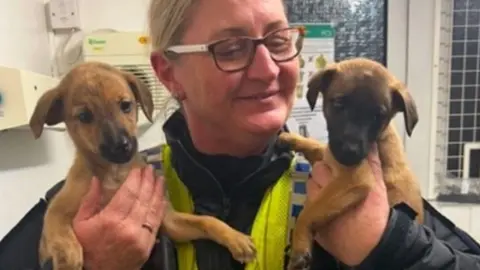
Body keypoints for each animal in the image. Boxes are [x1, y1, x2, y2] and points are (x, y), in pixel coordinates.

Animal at [30, 61, 256, 270]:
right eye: (84, 116)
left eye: (125, 105)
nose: (121, 146)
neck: (115, 174)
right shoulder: (57, 208)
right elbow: (59, 233)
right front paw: (68, 259)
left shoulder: (169, 221)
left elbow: (206, 221)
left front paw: (235, 238)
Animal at [282, 57, 424, 270]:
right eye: (340, 104)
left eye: (377, 116)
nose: (351, 152)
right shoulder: (332, 154)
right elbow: (318, 147)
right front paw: (291, 139)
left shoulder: (355, 179)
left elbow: (307, 212)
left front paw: (299, 248)